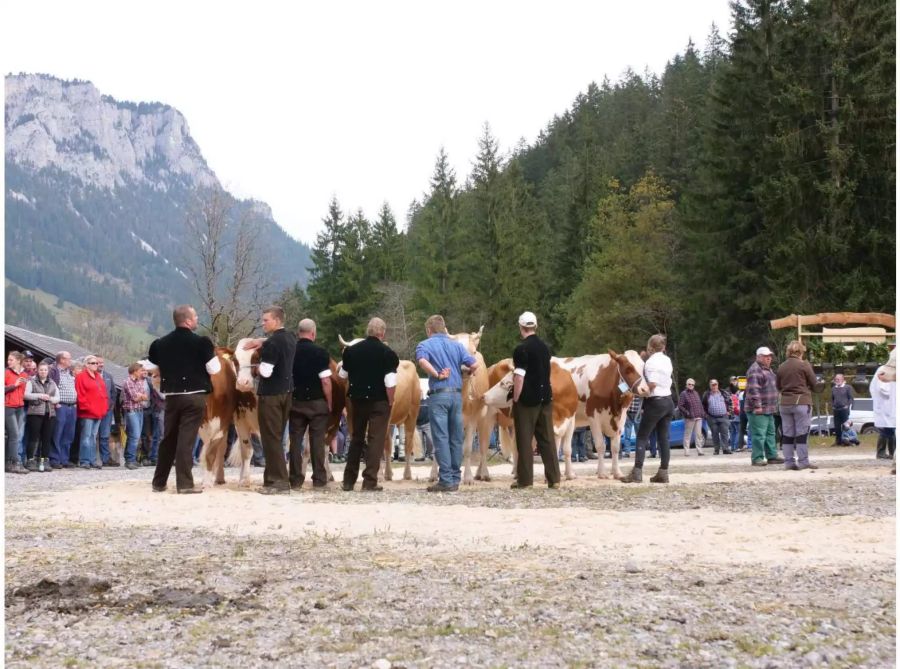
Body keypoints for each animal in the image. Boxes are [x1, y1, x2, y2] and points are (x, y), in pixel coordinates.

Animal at [556, 350, 648, 480]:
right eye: (628, 368)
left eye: (643, 367)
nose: (645, 389)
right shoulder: (593, 416)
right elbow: (600, 445)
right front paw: (602, 473)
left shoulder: (622, 418)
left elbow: (615, 447)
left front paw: (617, 472)